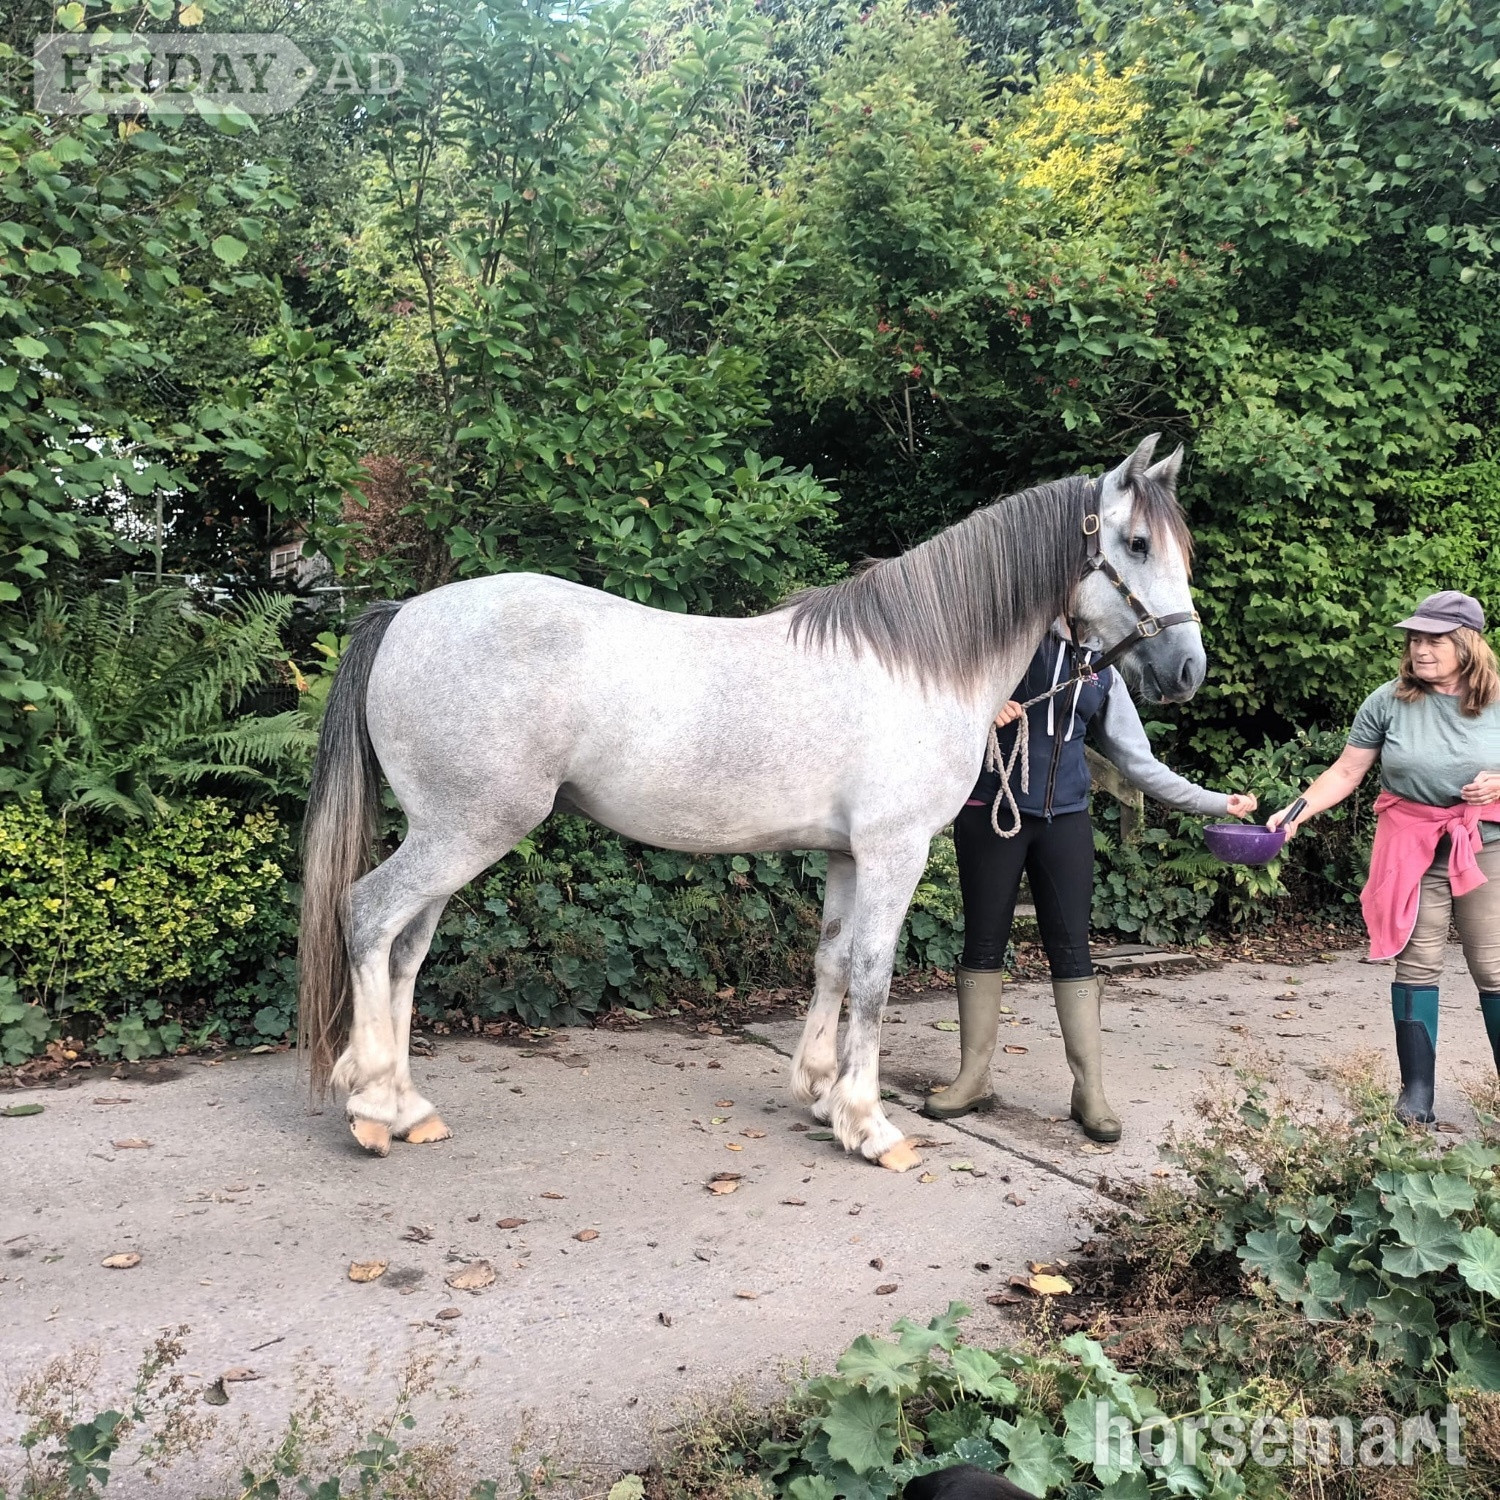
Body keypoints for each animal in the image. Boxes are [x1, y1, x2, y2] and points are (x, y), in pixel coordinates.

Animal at [298, 434, 1204, 1170]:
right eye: (1134, 543)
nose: (1187, 669)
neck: (920, 664)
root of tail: (406, 615)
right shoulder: (895, 851)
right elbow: (874, 973)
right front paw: (872, 1125)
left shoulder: (846, 854)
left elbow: (832, 961)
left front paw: (819, 1091)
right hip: (465, 832)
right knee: (370, 917)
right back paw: (372, 1106)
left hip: (448, 835)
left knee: (406, 950)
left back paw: (408, 1107)